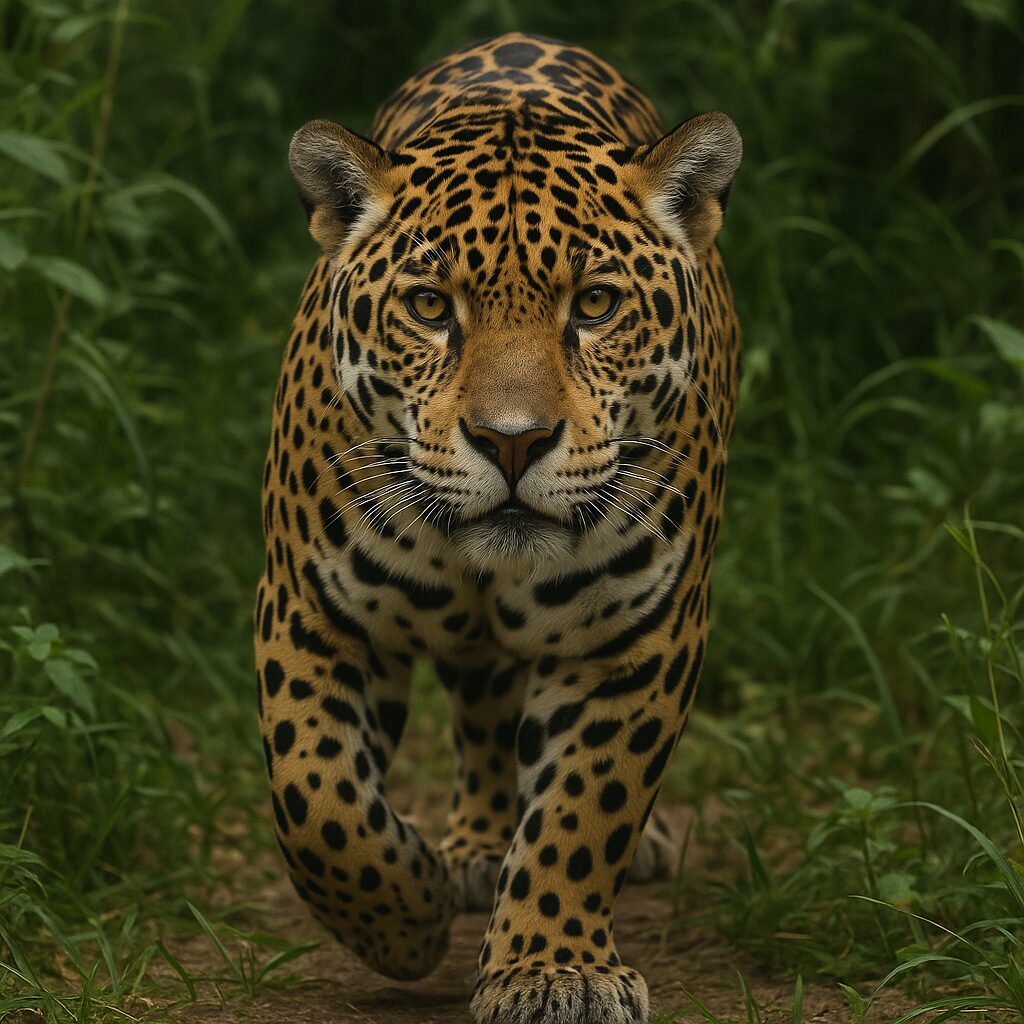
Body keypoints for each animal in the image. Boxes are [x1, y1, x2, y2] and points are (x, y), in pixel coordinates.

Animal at [255, 31, 742, 1024]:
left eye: (594, 305)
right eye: (430, 308)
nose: (511, 442)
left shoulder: (636, 634)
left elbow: (584, 809)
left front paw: (551, 970)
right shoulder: (309, 608)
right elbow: (317, 798)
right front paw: (406, 919)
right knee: (480, 701)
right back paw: (473, 850)